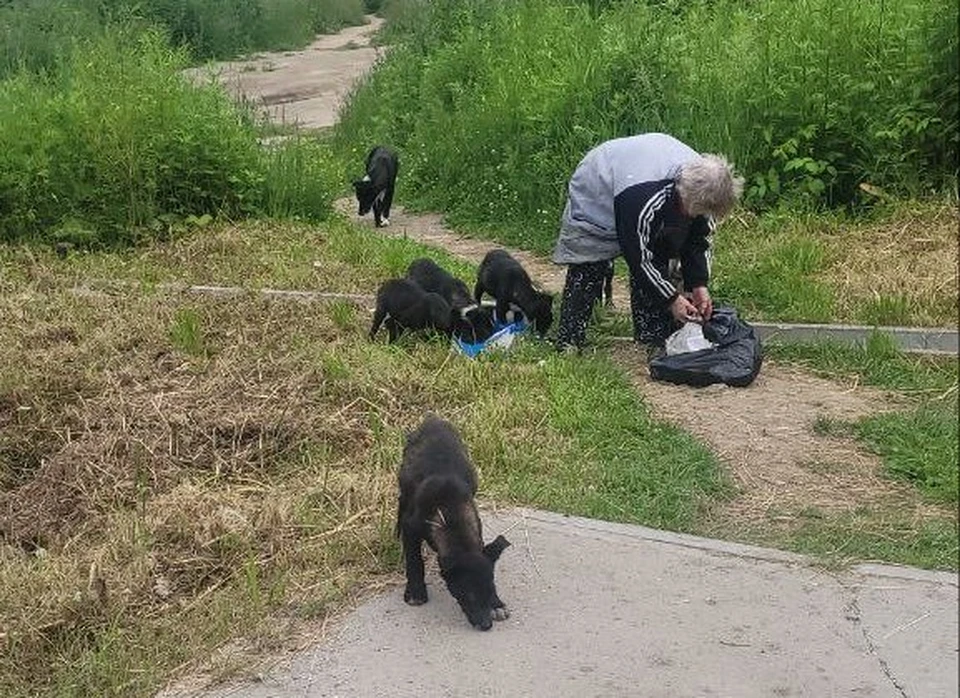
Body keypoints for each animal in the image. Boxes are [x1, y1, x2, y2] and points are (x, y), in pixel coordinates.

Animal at [396, 414, 510, 632]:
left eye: (490, 589)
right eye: (466, 596)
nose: (486, 625)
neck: (450, 510)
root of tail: (432, 419)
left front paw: (497, 604)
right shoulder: (411, 528)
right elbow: (414, 560)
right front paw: (416, 592)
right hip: (403, 483)